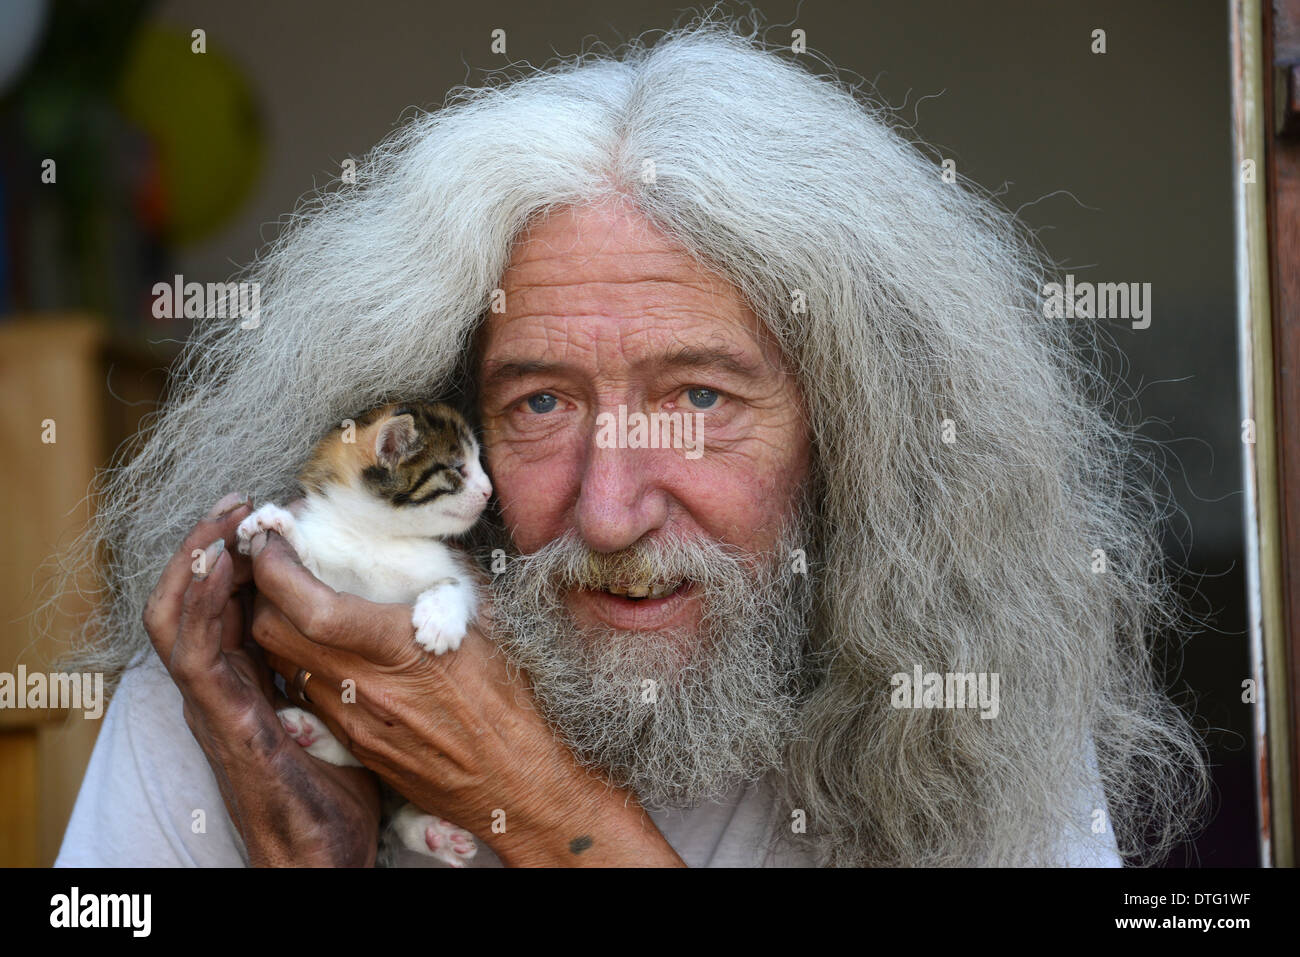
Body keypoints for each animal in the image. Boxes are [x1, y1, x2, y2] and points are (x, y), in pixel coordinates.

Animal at [233, 400, 491, 863]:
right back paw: (311, 733)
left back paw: (434, 835)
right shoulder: (332, 573)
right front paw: (274, 524)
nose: (489, 491)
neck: (377, 537)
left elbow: (455, 584)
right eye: (458, 468)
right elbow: (310, 562)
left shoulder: (451, 565)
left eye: (478, 463)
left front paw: (439, 620)